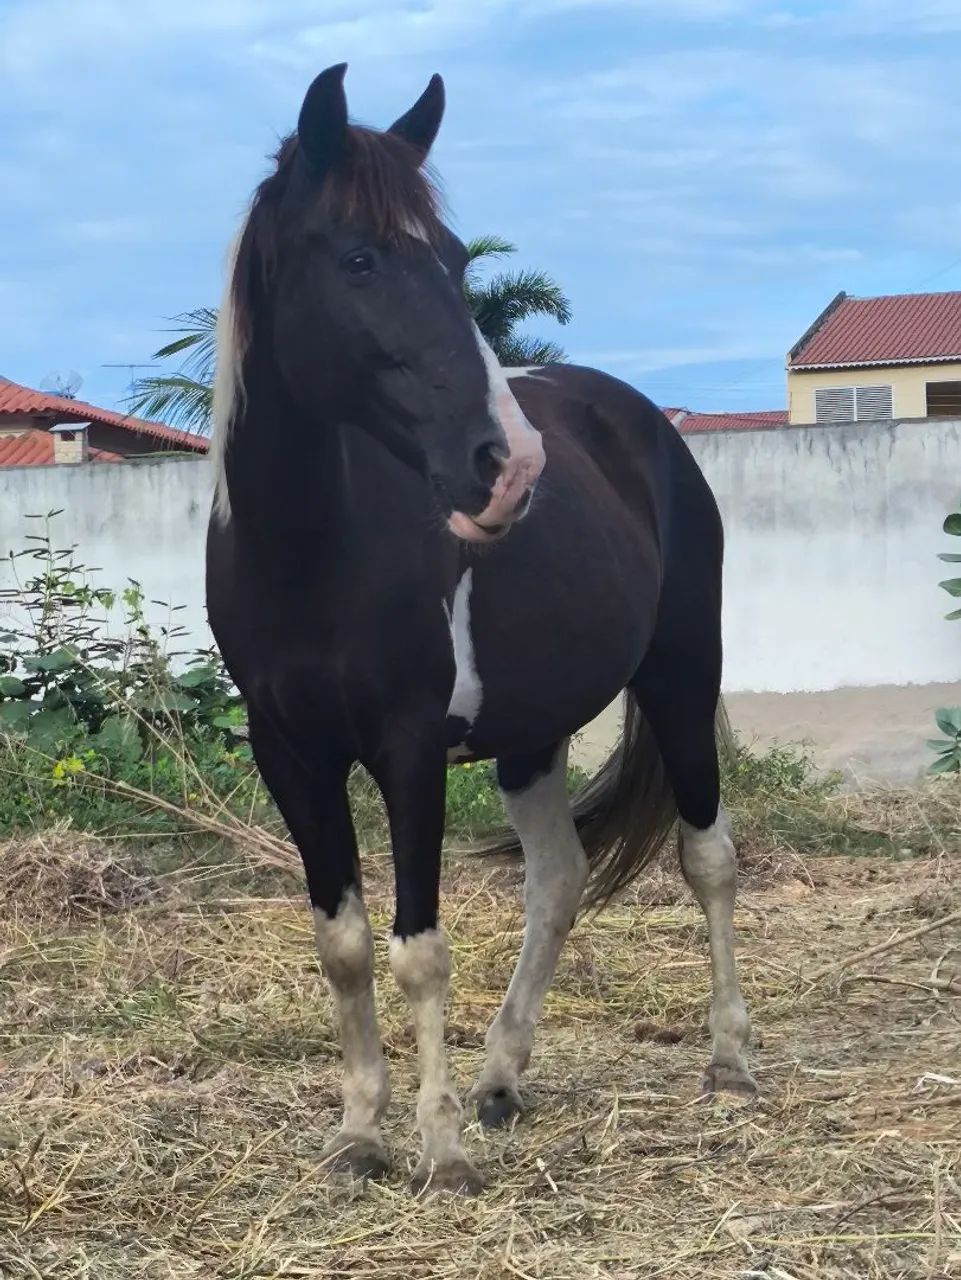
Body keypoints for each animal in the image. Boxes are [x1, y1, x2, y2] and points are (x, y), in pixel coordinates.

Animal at [206, 63, 755, 1196]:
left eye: (457, 260)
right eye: (360, 257)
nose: (509, 467)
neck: (308, 552)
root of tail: (640, 423)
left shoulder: (409, 747)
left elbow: (420, 947)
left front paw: (441, 1146)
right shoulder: (290, 753)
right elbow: (344, 945)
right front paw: (360, 1133)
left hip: (682, 674)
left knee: (707, 856)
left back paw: (728, 1057)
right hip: (529, 731)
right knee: (557, 880)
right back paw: (503, 1076)